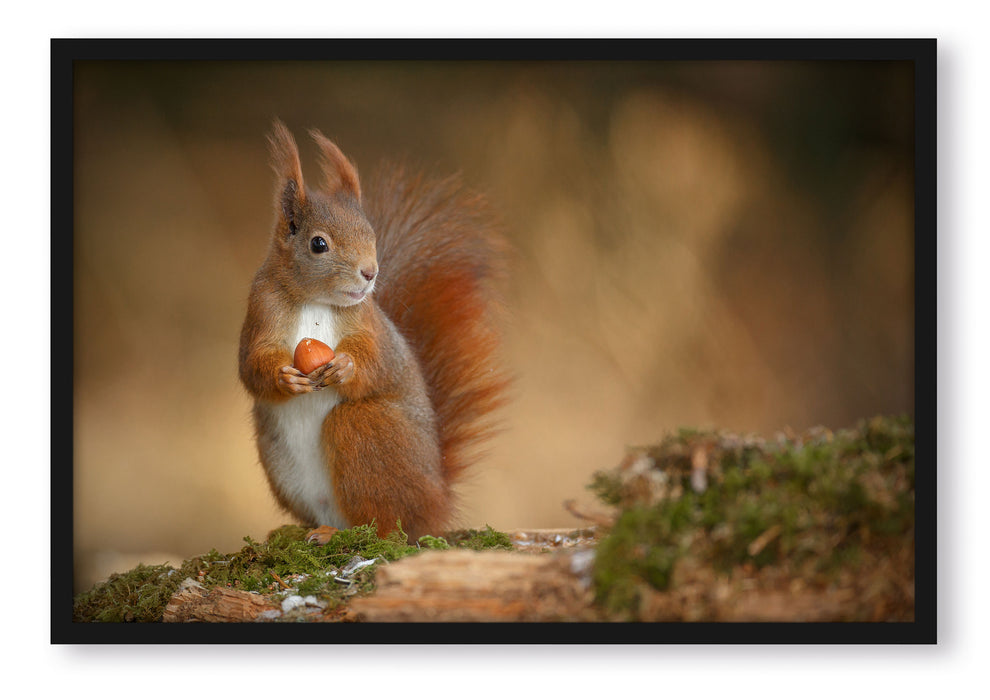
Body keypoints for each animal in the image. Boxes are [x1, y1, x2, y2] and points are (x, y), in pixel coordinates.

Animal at [238, 119, 509, 543]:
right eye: (318, 244)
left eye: (371, 234)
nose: (370, 273)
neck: (314, 301)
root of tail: (436, 503)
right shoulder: (261, 311)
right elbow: (251, 365)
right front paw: (284, 378)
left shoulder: (369, 324)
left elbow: (376, 360)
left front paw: (346, 367)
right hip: (279, 461)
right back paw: (311, 531)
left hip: (366, 429)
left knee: (385, 525)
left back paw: (344, 534)